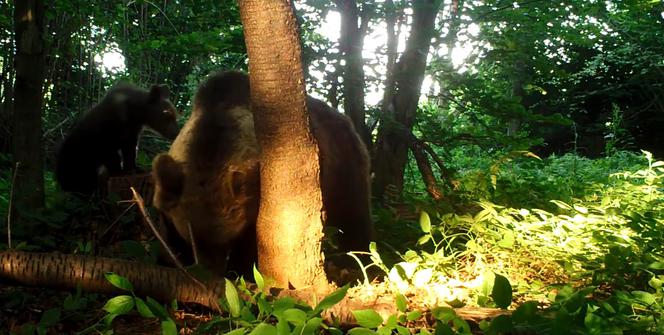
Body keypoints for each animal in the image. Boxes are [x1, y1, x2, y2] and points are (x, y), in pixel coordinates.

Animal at [152, 71, 376, 278]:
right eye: (191, 238)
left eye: (226, 241)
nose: (209, 271)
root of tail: (346, 120)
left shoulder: (254, 200)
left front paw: (240, 271)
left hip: (344, 165)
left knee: (354, 215)